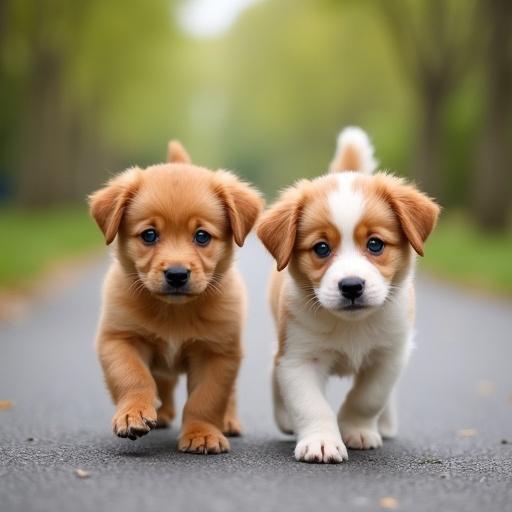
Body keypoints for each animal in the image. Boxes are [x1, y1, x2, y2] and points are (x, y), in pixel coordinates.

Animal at [88, 142, 262, 454]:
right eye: (149, 235)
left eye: (202, 236)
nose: (177, 274)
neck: (174, 312)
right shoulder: (118, 338)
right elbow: (133, 377)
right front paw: (133, 414)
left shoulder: (217, 352)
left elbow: (207, 399)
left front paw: (202, 433)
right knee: (162, 382)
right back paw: (160, 412)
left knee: (229, 394)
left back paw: (228, 421)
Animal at [258, 128, 438, 464]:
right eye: (321, 248)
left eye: (375, 244)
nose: (352, 286)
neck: (351, 325)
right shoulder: (299, 358)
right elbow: (311, 405)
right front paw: (321, 441)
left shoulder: (389, 355)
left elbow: (368, 397)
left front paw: (356, 429)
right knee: (274, 369)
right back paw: (285, 418)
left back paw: (386, 424)